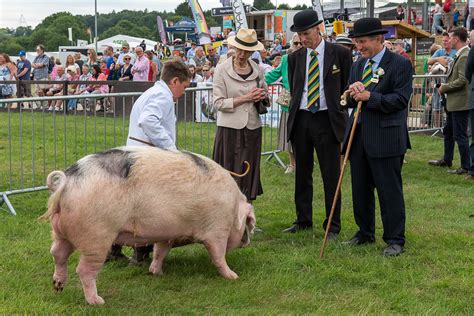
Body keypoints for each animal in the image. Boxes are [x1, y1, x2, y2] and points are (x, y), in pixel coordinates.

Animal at [40, 147, 256, 304]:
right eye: (247, 224)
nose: (247, 242)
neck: (232, 206)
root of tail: (67, 183)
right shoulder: (216, 229)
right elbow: (218, 255)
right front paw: (233, 276)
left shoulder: (168, 234)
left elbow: (161, 251)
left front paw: (157, 273)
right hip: (97, 235)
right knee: (83, 269)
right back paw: (97, 301)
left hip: (61, 232)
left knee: (57, 253)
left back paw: (58, 287)